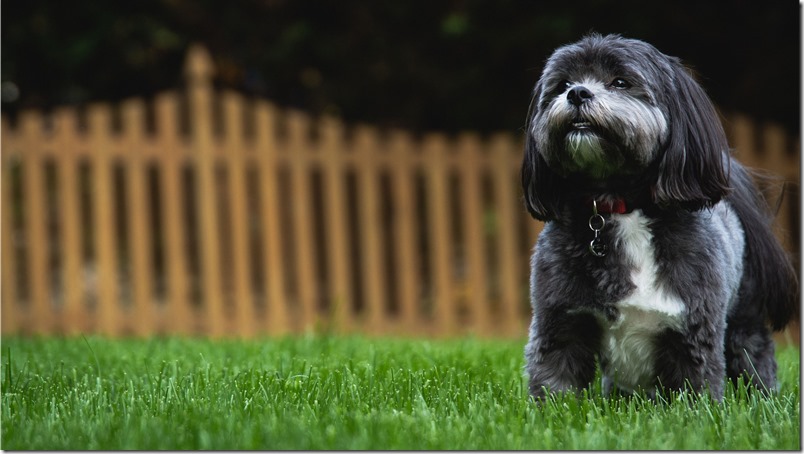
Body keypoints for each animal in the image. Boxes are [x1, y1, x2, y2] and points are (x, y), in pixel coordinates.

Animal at [520, 33, 796, 400]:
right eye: (562, 84)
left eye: (620, 82)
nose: (577, 93)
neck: (621, 206)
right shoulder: (560, 323)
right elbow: (555, 383)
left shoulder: (693, 332)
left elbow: (697, 391)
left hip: (744, 319)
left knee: (752, 352)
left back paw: (762, 397)